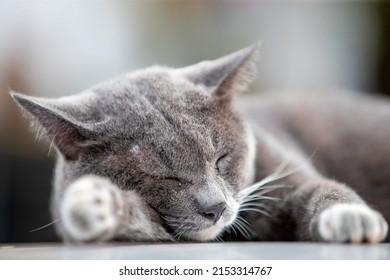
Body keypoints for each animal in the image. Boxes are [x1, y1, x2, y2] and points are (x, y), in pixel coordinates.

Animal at [10, 43, 388, 243]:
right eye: (166, 178)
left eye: (221, 159)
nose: (216, 207)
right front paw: (94, 204)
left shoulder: (284, 171)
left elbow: (320, 188)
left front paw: (351, 218)